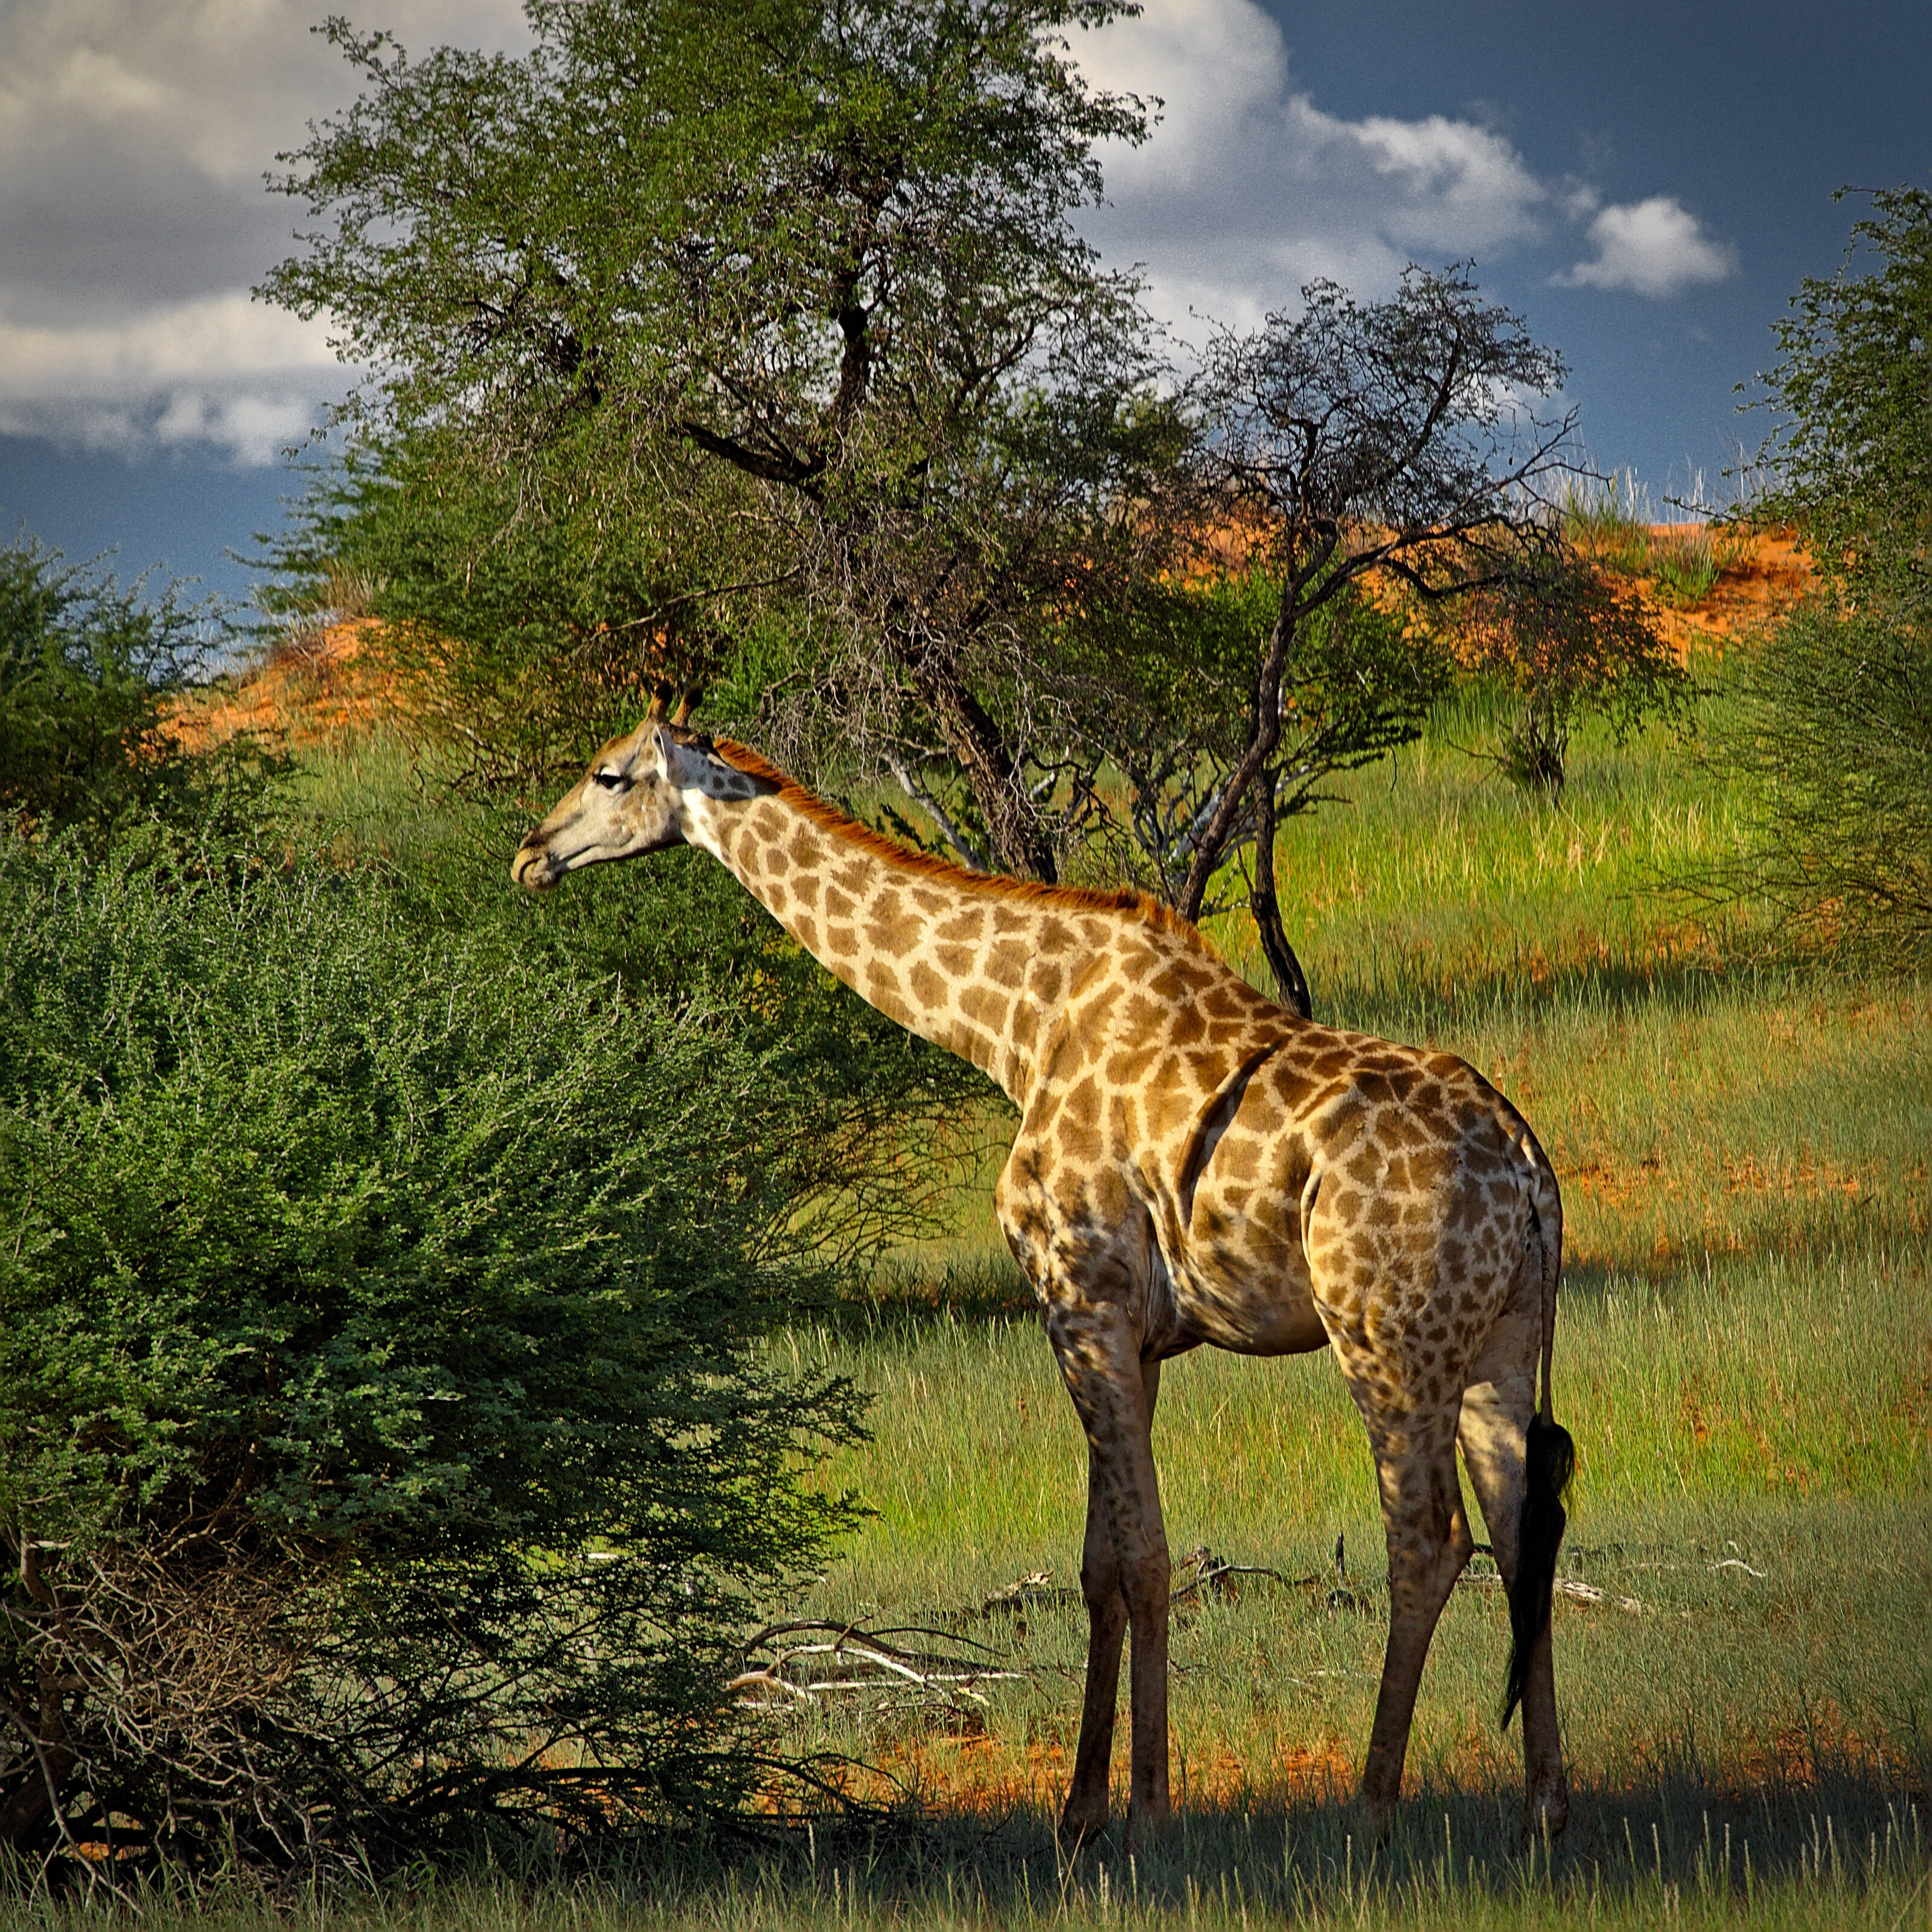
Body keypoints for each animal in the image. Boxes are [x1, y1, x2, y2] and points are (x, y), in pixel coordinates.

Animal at [513, 719, 1575, 1849]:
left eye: (609, 774)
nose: (532, 853)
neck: (1017, 1027)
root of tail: (1530, 1169)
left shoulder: (1079, 1302)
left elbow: (1147, 1558)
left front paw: (1148, 1812)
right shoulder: (1134, 1335)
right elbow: (1101, 1566)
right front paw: (1079, 1812)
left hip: (1385, 1336)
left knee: (1428, 1541)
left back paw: (1371, 1811)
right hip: (1500, 1338)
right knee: (1521, 1531)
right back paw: (1546, 1808)